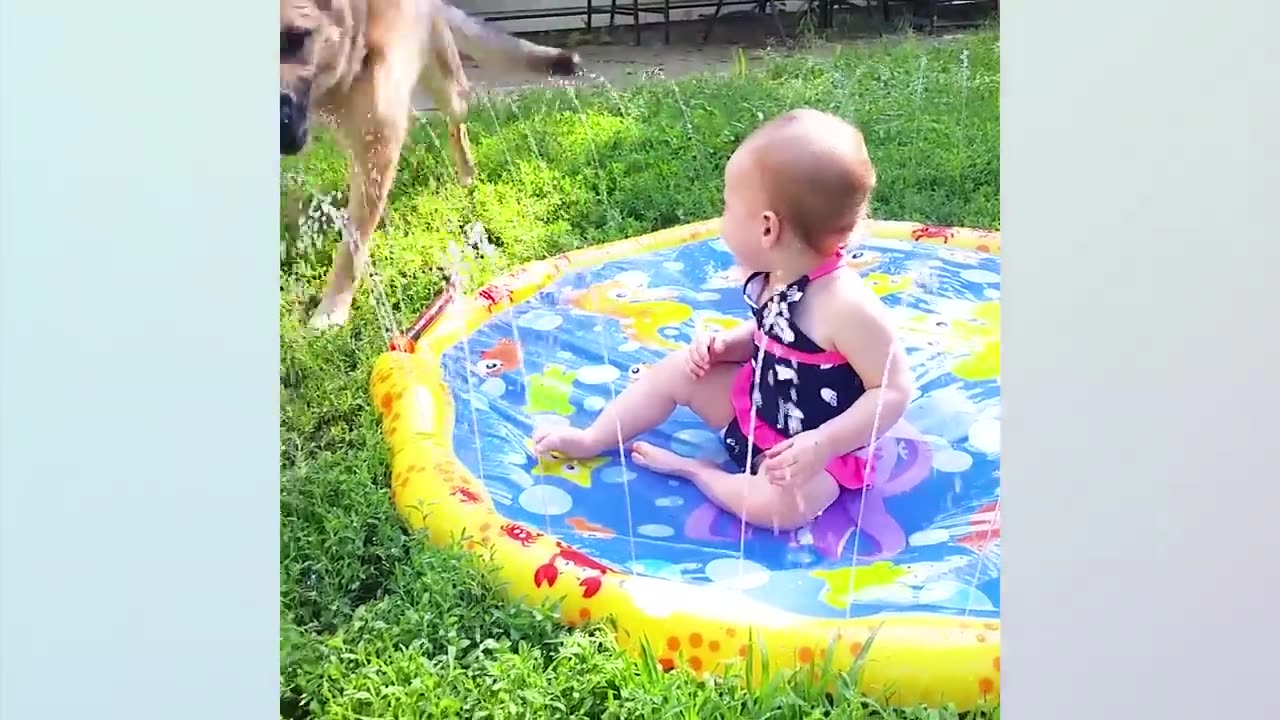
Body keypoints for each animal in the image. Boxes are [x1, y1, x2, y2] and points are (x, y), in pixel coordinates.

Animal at [282, 0, 583, 327]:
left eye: (296, 38)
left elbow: (352, 245)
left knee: (456, 123)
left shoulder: (377, 140)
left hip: (445, 84)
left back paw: (466, 176)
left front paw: (332, 309)